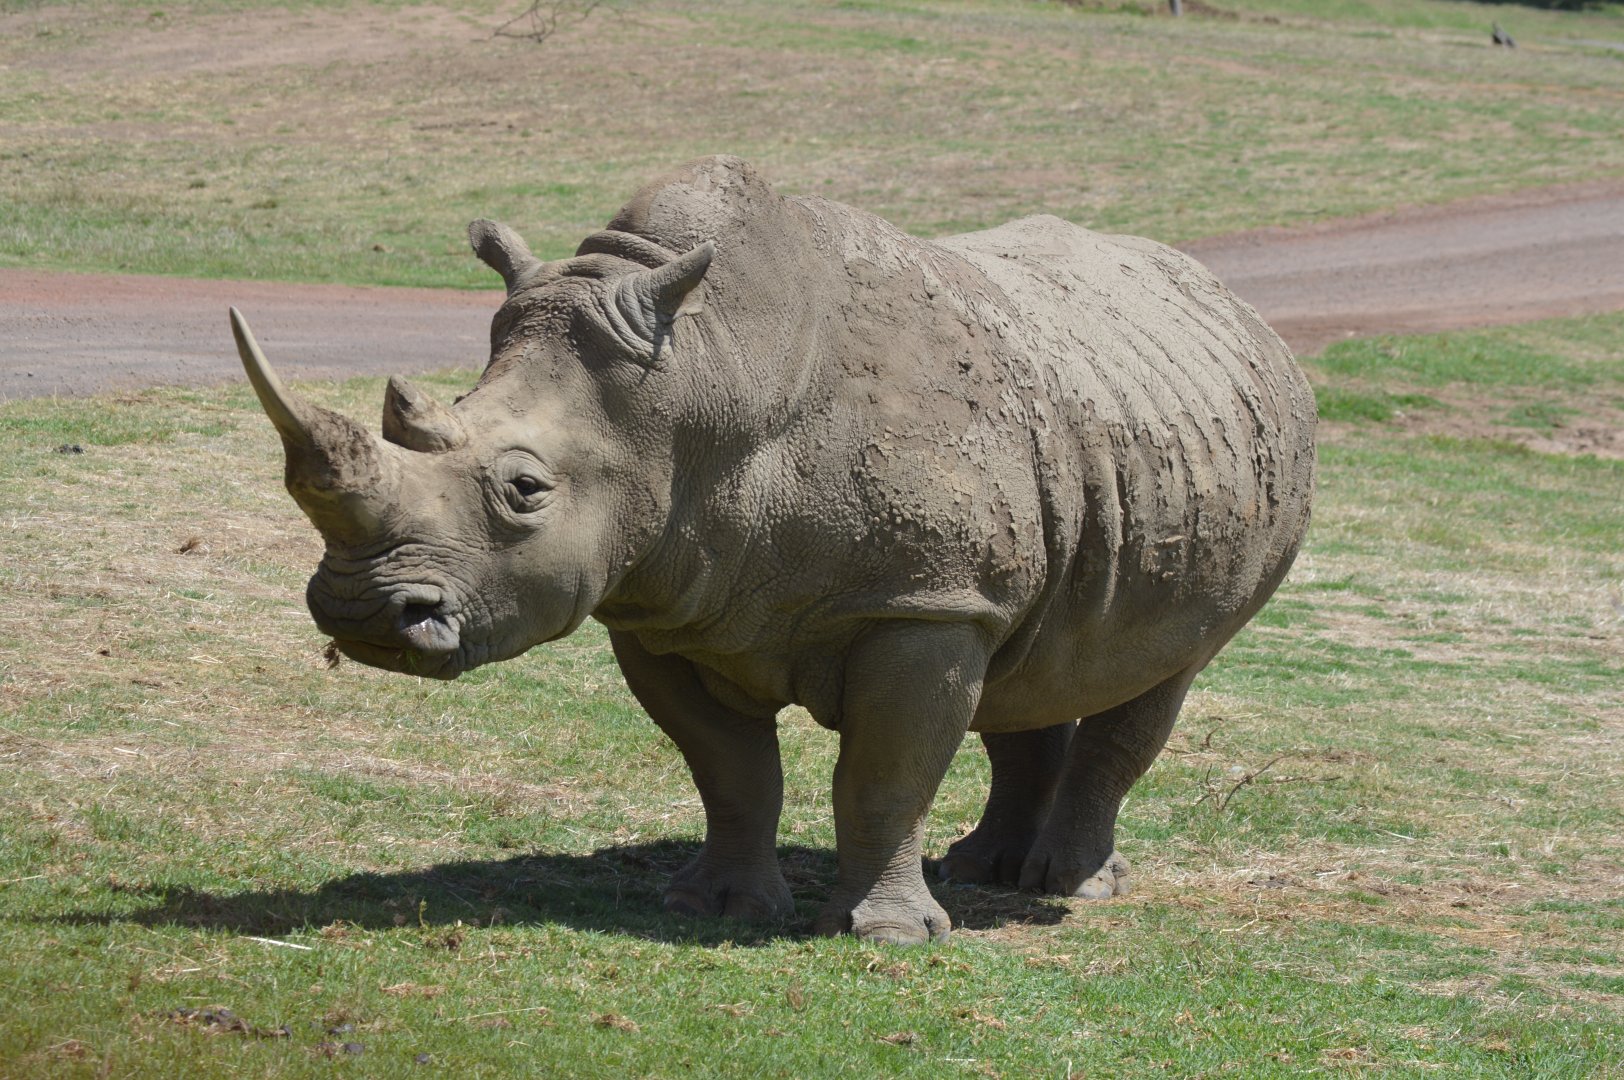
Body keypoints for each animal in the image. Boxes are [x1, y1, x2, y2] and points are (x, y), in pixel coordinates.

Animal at [231, 156, 1315, 944]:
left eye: (525, 491)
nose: (362, 614)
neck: (703, 382)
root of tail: (1238, 310)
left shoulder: (920, 602)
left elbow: (884, 774)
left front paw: (888, 937)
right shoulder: (663, 601)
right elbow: (730, 769)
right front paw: (712, 907)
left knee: (1160, 668)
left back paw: (1069, 889)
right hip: (1095, 431)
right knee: (1033, 655)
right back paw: (981, 872)